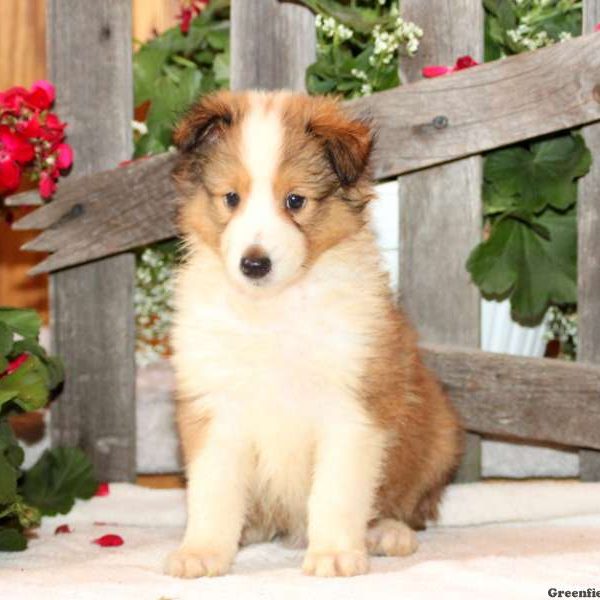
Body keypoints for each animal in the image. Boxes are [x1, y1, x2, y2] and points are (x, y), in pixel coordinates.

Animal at [165, 91, 464, 580]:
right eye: (231, 197)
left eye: (295, 200)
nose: (255, 264)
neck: (272, 311)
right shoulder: (214, 405)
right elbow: (213, 490)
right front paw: (202, 552)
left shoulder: (352, 408)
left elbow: (337, 492)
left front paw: (335, 555)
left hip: (439, 433)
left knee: (411, 505)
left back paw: (387, 533)